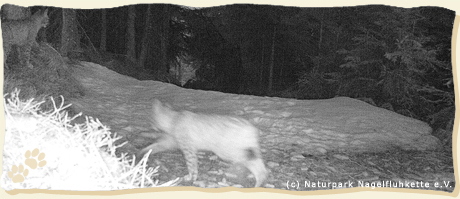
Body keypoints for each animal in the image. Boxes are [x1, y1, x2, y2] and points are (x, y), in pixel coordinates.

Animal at [137, 100, 268, 187]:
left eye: (151, 118)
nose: (151, 124)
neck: (174, 118)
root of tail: (252, 127)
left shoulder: (188, 148)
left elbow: (191, 164)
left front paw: (191, 177)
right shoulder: (169, 142)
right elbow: (153, 147)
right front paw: (141, 153)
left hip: (227, 151)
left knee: (250, 161)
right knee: (259, 165)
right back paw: (259, 182)